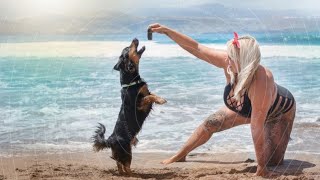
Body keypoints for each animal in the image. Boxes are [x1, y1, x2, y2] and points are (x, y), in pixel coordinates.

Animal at [92, 38, 166, 176]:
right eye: (127, 48)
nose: (135, 39)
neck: (131, 82)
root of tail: (110, 139)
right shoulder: (138, 105)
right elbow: (148, 98)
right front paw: (161, 100)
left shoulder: (146, 92)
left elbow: (151, 94)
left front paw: (159, 98)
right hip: (126, 150)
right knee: (124, 165)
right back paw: (133, 175)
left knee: (119, 164)